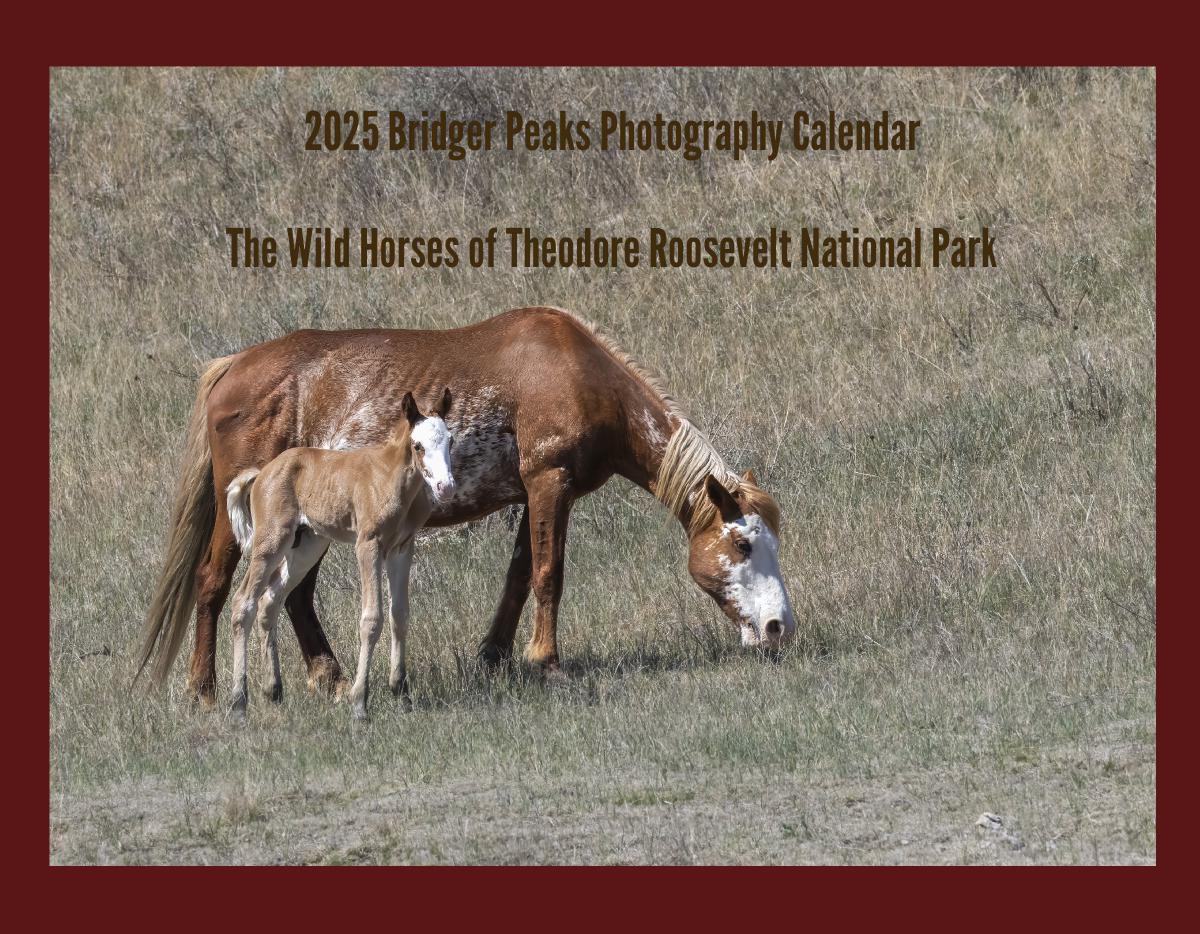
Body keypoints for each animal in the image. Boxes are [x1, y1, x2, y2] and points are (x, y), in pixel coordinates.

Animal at [223, 389, 454, 721]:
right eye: (418, 445)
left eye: (450, 441)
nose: (446, 487)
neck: (390, 476)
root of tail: (262, 473)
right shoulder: (368, 544)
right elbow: (372, 618)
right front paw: (359, 703)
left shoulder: (402, 548)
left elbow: (400, 615)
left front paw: (402, 694)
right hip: (271, 541)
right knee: (244, 602)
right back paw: (239, 703)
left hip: (307, 546)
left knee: (270, 601)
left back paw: (273, 690)